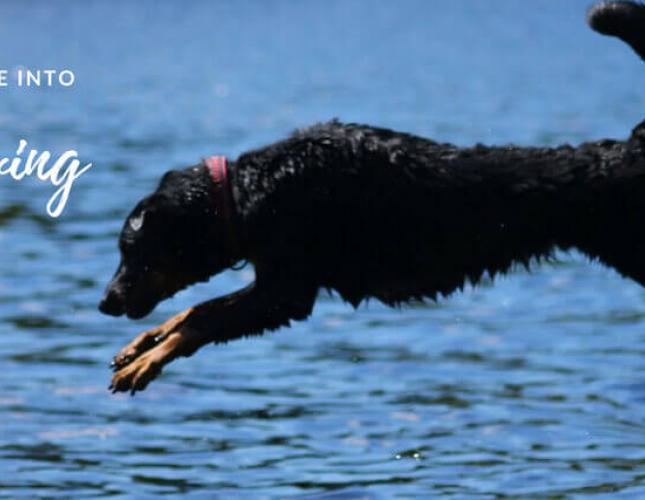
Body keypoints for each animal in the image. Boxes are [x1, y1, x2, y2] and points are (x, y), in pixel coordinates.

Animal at [98, 1, 644, 396]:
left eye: (132, 252)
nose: (105, 302)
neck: (247, 194)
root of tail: (633, 146)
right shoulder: (275, 284)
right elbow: (191, 312)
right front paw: (143, 345)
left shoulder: (285, 293)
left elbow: (202, 317)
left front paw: (148, 360)